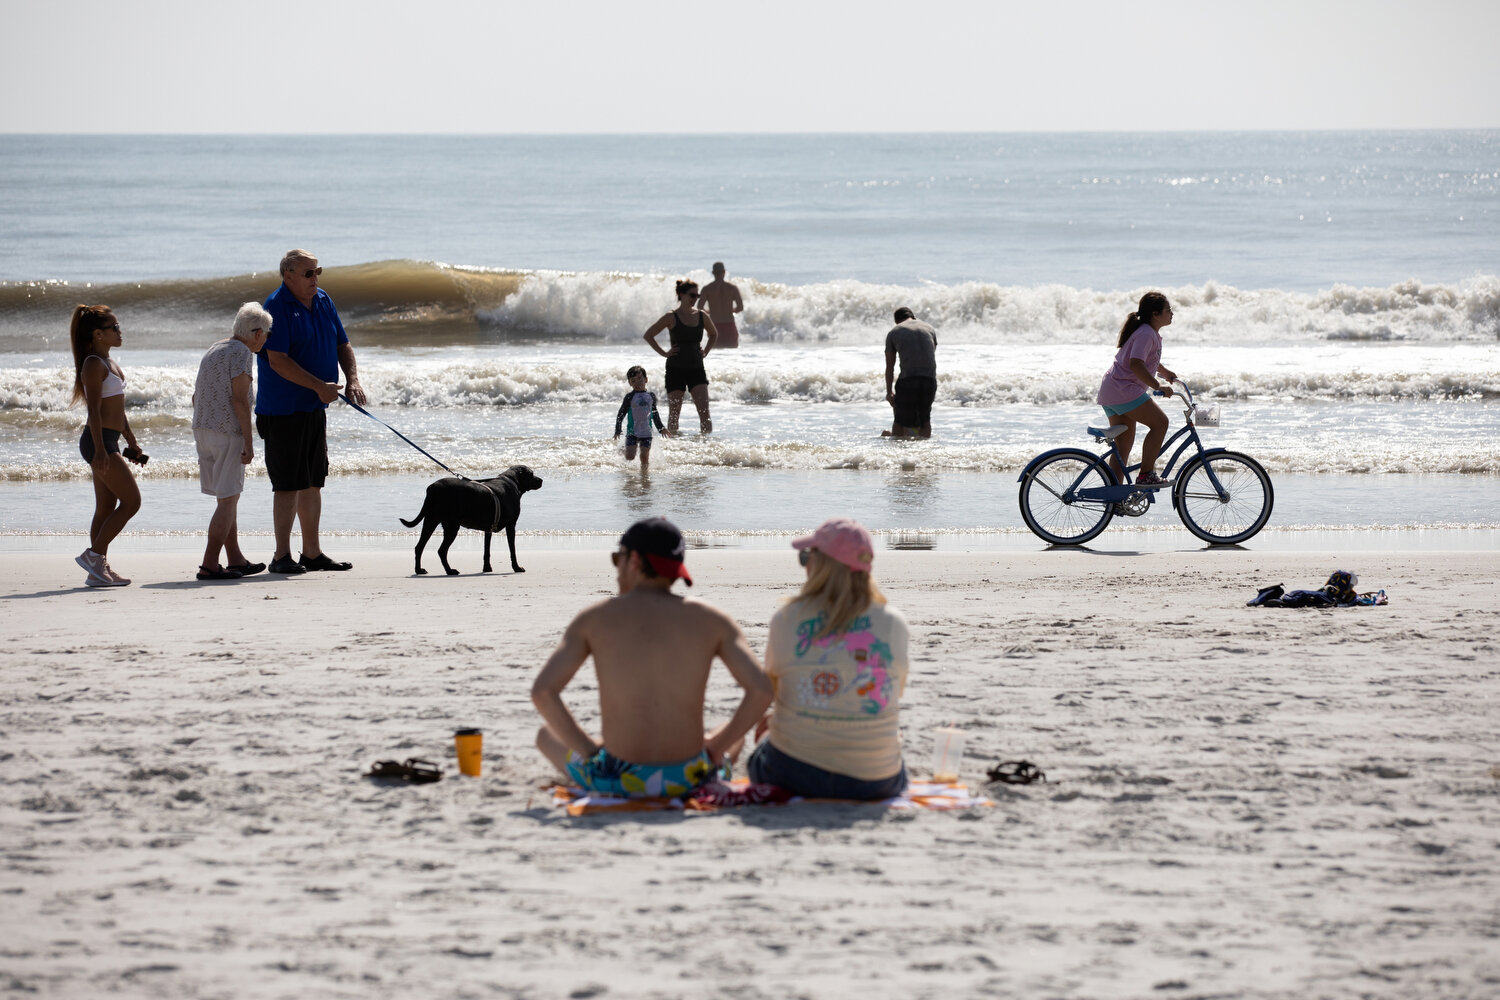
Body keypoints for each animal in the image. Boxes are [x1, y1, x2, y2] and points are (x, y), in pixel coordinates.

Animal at [399, 464, 546, 575]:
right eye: (531, 474)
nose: (541, 480)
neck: (512, 480)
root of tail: (433, 488)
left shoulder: (488, 529)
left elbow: (487, 551)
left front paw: (487, 568)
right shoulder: (511, 525)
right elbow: (512, 550)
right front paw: (516, 567)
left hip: (431, 520)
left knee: (419, 547)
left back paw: (419, 570)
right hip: (451, 526)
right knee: (441, 550)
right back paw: (450, 571)